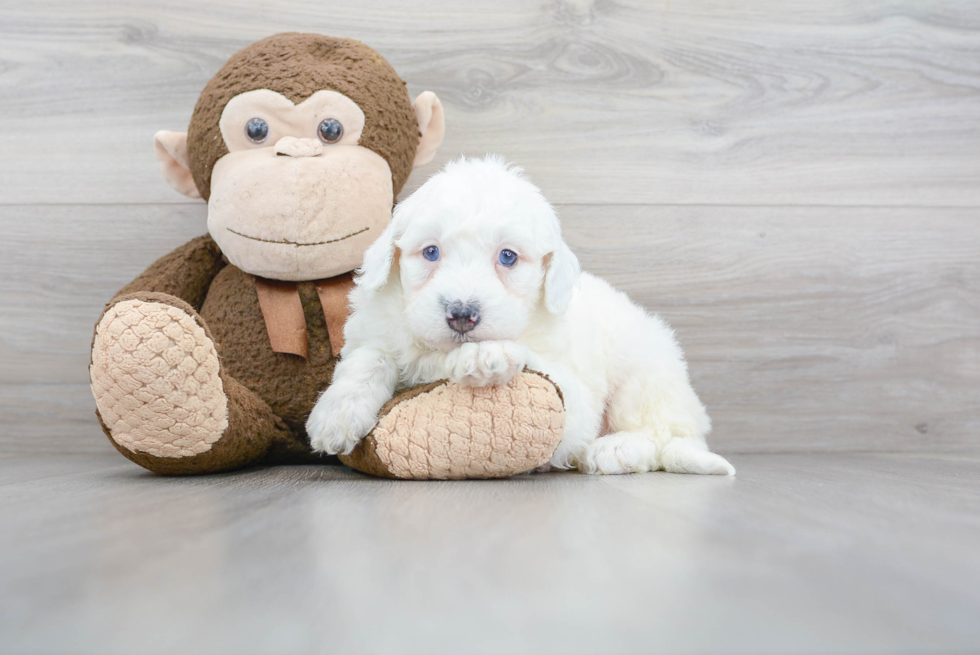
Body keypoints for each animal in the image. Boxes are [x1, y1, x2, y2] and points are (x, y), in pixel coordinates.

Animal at [306, 158, 736, 476]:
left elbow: (544, 371)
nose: (462, 315)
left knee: (661, 434)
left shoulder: (575, 396)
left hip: (645, 373)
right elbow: (370, 359)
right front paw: (336, 415)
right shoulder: (375, 329)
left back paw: (614, 450)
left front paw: (485, 355)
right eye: (430, 252)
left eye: (508, 257)